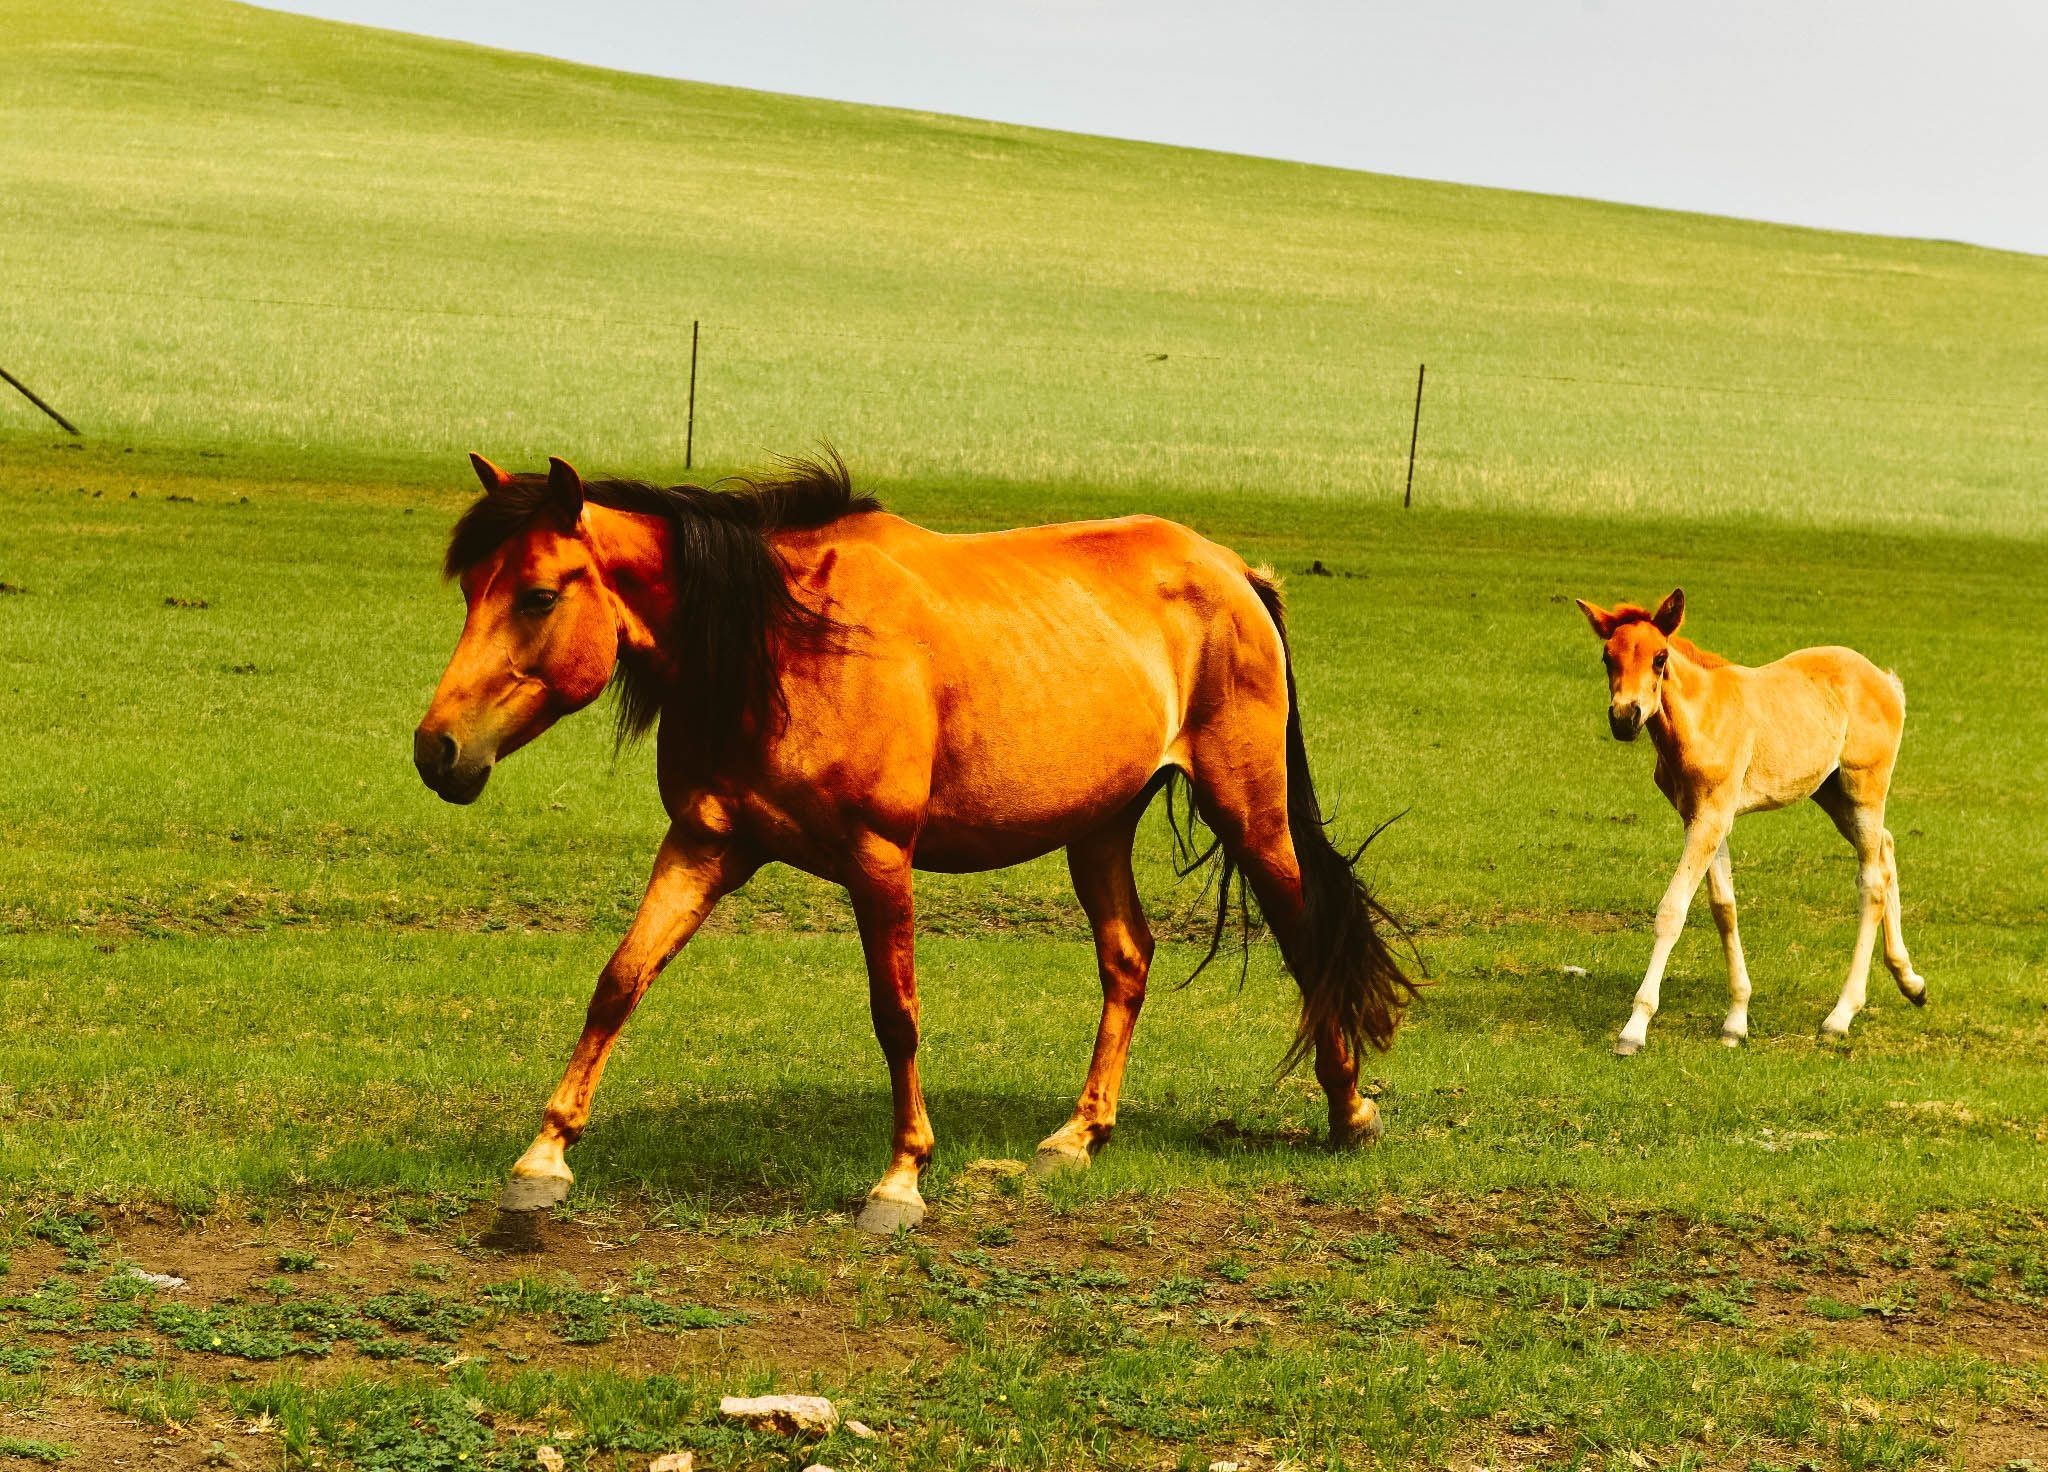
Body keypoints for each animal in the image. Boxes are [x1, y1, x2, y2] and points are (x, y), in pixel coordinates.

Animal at [411, 448, 1409, 1228]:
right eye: (470, 589)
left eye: (539, 595)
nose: (437, 749)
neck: (790, 644)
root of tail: (1233, 570)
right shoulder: (703, 844)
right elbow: (619, 983)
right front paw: (542, 1159)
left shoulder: (879, 859)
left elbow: (897, 1016)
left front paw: (901, 1180)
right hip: (1100, 826)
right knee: (1129, 959)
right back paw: (1080, 1134)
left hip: (1251, 811)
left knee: (1309, 939)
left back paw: (1350, 1112)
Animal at [1572, 589, 1925, 1056]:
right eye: (1607, 657)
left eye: (1660, 657)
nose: (1624, 718)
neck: (1702, 718)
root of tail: (1886, 682)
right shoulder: (1704, 817)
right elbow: (1724, 909)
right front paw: (1735, 1022)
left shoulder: (1710, 819)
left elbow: (1672, 911)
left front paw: (1634, 1028)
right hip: (1832, 795)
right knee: (1885, 850)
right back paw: (1911, 982)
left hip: (1864, 791)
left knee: (1871, 884)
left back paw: (1840, 1017)